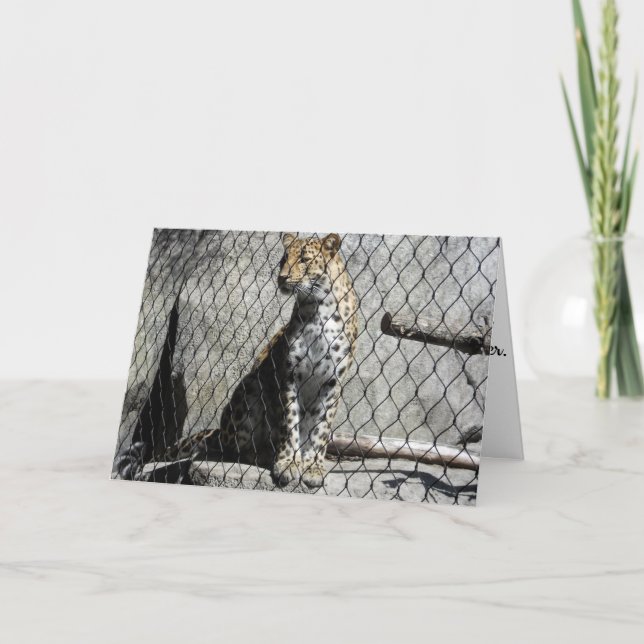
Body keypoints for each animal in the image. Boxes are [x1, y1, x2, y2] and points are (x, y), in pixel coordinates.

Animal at [219, 232, 359, 488]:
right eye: (283, 259)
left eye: (304, 259)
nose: (282, 277)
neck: (319, 309)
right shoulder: (290, 375)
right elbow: (290, 422)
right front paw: (288, 463)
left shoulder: (332, 382)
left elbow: (320, 428)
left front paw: (313, 467)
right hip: (249, 389)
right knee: (234, 450)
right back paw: (266, 453)